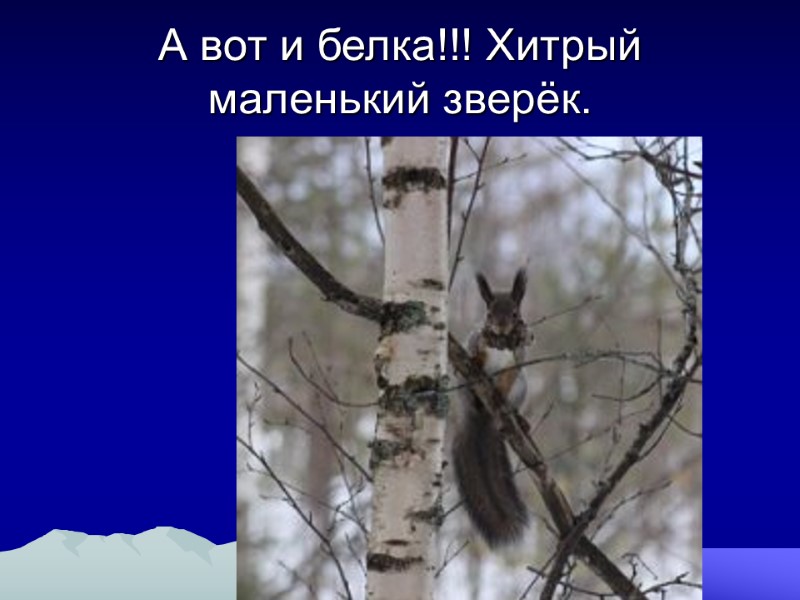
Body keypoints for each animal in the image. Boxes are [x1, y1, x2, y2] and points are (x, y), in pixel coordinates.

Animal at [451, 268, 532, 547]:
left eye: (515, 313)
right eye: (488, 313)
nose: (501, 326)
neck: (502, 341)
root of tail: (483, 418)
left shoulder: (517, 361)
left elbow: (509, 376)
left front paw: (501, 393)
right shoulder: (477, 340)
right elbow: (476, 351)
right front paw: (476, 360)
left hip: (522, 388)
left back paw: (519, 418)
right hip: (462, 389)